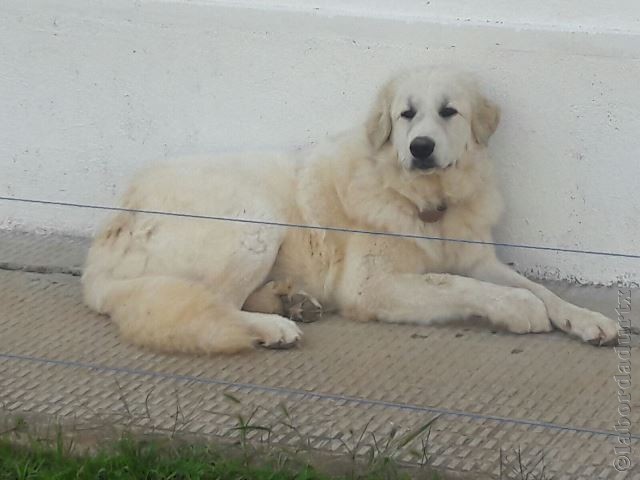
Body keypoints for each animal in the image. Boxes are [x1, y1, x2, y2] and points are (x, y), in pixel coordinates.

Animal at [82, 66, 616, 352]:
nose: (420, 147)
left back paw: (289, 302)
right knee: (216, 304)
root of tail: (115, 221)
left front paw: (586, 319)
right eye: (406, 114)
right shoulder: (372, 286)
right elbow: (458, 284)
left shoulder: (479, 258)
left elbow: (540, 289)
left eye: (449, 112)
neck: (425, 202)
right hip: (254, 219)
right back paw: (275, 326)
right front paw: (516, 309)